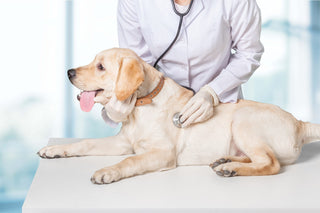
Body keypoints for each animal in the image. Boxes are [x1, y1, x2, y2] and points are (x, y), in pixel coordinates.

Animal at [37, 47, 320, 183]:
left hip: (244, 119)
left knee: (271, 163)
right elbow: (85, 142)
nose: (69, 72)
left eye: (101, 67)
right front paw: (54, 150)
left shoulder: (162, 153)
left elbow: (130, 161)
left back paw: (230, 169)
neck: (141, 106)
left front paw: (108, 171)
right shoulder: (123, 142)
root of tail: (300, 123)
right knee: (259, 158)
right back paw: (226, 161)